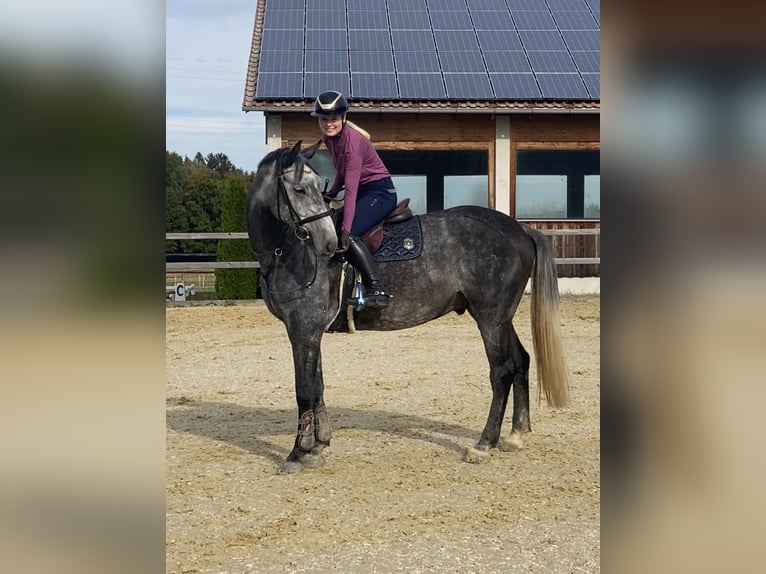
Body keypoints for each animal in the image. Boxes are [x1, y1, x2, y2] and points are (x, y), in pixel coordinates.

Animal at [246, 142, 568, 474]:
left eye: (310, 187)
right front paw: (318, 446)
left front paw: (298, 452)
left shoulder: (303, 329)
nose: (329, 245)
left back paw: (484, 443)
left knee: (501, 371)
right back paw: (516, 434)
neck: (289, 252)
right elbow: (318, 386)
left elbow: (305, 390)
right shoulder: (311, 331)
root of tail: (520, 229)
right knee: (520, 360)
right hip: (500, 317)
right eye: (299, 189)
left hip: (491, 318)